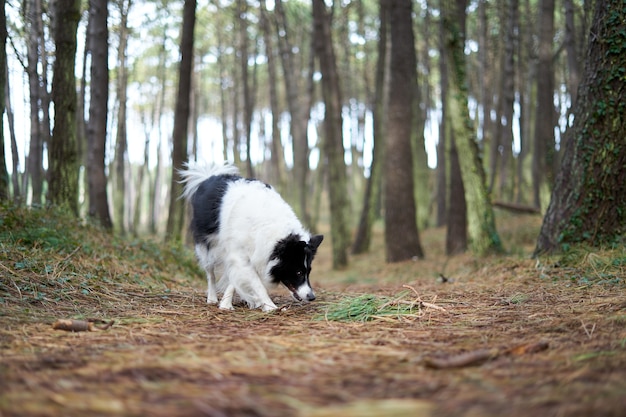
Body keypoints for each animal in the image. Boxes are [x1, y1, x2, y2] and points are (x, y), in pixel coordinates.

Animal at [177, 162, 320, 308]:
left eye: (308, 271)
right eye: (298, 272)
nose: (312, 297)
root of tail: (210, 177)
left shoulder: (246, 254)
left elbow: (236, 279)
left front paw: (229, 302)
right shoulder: (239, 254)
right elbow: (256, 283)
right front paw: (269, 306)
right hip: (206, 247)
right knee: (210, 273)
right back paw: (212, 298)